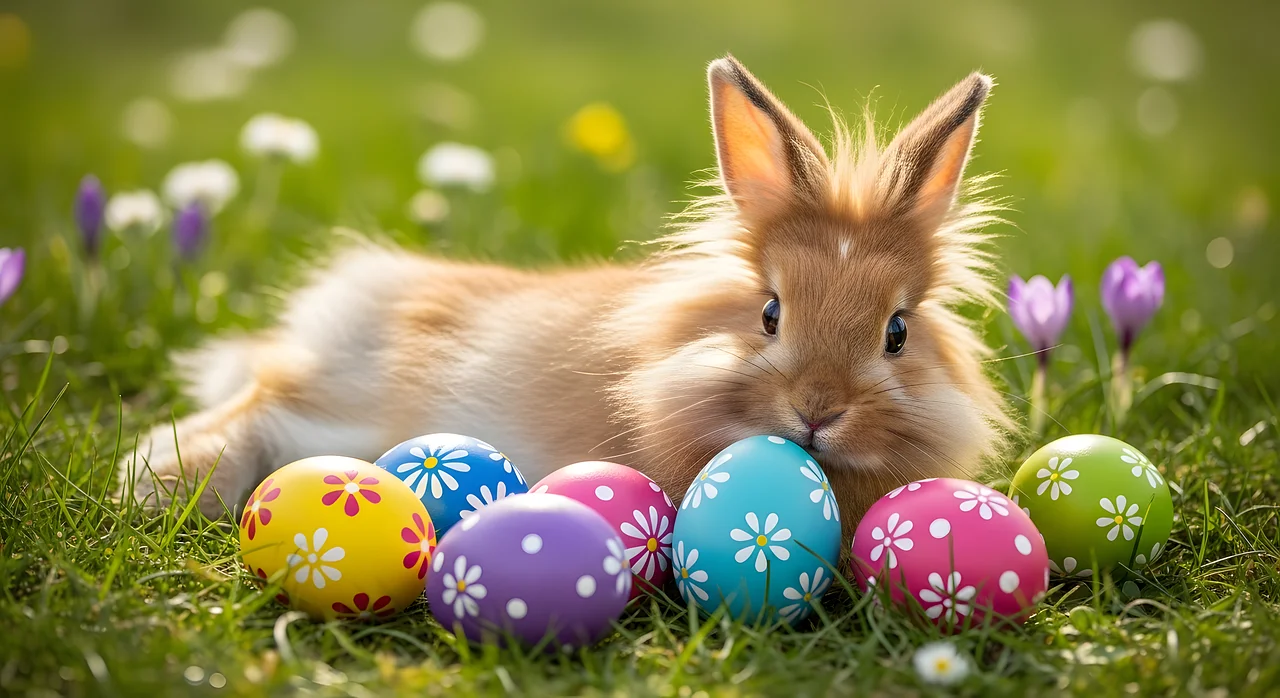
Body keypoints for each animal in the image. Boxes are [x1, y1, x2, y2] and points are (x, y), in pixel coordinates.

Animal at [119, 55, 1010, 547]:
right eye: (769, 314)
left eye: (897, 332)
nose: (817, 411)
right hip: (366, 403)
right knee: (266, 407)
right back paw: (161, 480)